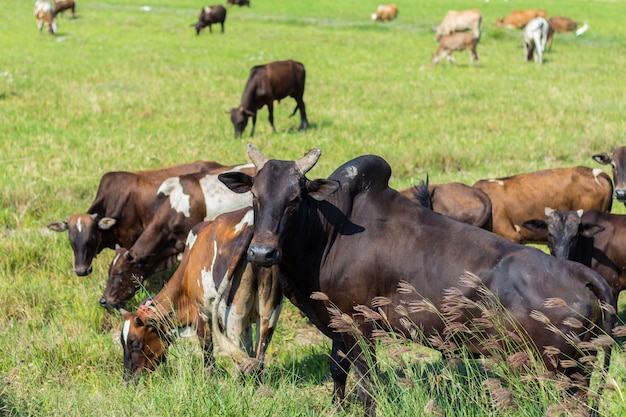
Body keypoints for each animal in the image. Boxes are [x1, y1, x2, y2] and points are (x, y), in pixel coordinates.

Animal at [117, 208, 282, 384]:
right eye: (122, 342)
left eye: (136, 343)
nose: (127, 380)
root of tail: (251, 224)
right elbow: (249, 350)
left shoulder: (201, 314)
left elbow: (208, 352)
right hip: (269, 312)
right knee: (259, 354)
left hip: (232, 316)